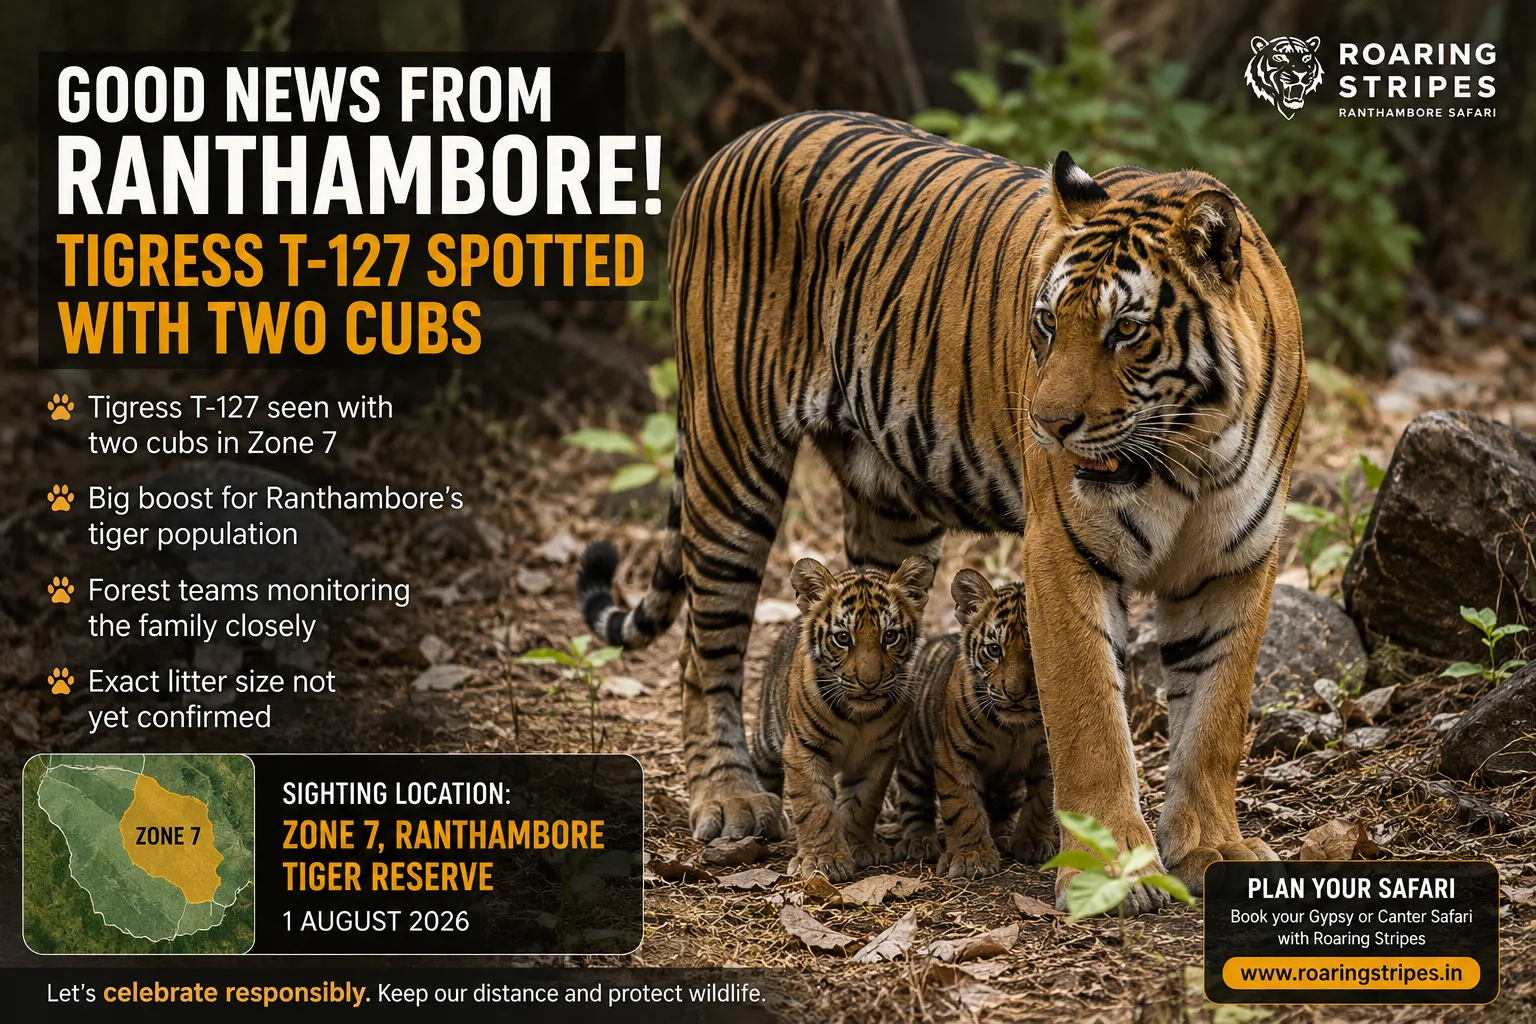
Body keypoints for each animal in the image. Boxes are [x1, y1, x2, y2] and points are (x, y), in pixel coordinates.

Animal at [749, 556, 933, 881]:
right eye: (843, 638)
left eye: (890, 635)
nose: (869, 683)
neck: (857, 716)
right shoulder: (802, 749)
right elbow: (814, 805)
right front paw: (824, 859)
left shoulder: (880, 752)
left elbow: (863, 802)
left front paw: (859, 847)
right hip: (768, 735)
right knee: (760, 768)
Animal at [894, 570, 1053, 878]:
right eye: (994, 650)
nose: (1015, 693)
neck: (1015, 729)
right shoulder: (953, 754)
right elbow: (962, 806)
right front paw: (971, 857)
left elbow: (1043, 801)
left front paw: (1034, 842)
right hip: (913, 757)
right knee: (913, 802)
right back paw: (920, 843)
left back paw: (1002, 836)